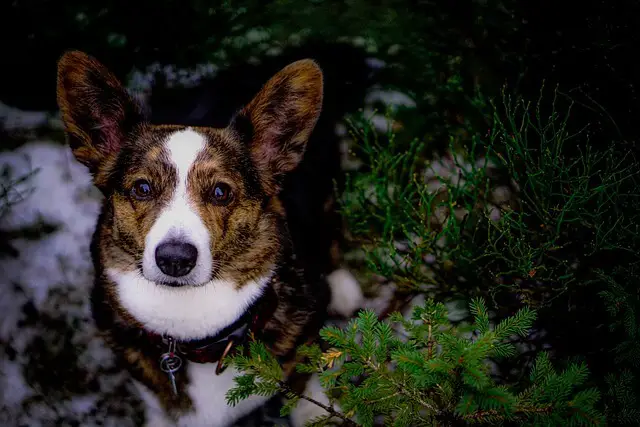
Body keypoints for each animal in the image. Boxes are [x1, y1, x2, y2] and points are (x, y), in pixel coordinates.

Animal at [58, 48, 364, 426]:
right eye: (142, 188)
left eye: (221, 192)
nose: (175, 259)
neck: (196, 337)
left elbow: (303, 380)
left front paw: (313, 411)